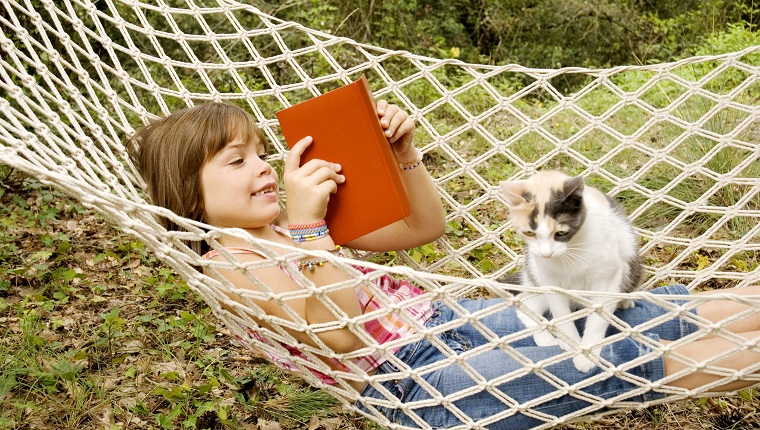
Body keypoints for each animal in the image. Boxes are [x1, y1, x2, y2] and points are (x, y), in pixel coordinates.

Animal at [498, 170, 640, 372]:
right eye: (529, 233)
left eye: (561, 233)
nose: (546, 253)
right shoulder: (548, 279)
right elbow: (560, 312)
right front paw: (572, 344)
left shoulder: (609, 275)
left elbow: (598, 317)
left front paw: (587, 354)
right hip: (534, 274)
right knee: (525, 306)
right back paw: (546, 339)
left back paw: (624, 301)